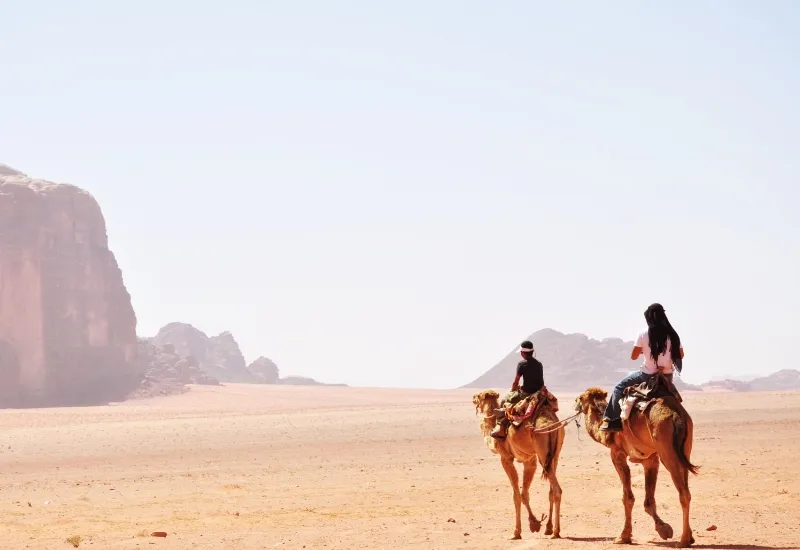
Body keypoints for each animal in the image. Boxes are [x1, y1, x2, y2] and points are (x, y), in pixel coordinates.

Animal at [472, 392, 564, 544]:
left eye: (478, 397)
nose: (473, 399)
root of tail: (551, 424)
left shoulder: (506, 458)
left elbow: (517, 495)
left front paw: (518, 532)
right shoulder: (530, 460)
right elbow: (524, 493)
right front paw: (535, 523)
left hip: (542, 452)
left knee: (557, 490)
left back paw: (556, 532)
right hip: (554, 455)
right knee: (551, 490)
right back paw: (549, 528)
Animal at [572, 388, 696, 548]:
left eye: (580, 398)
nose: (575, 403)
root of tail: (676, 415)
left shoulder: (617, 454)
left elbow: (627, 498)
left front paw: (623, 536)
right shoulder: (649, 460)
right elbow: (649, 501)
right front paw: (663, 529)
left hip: (667, 453)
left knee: (683, 494)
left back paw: (683, 540)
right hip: (684, 450)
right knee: (686, 488)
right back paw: (690, 537)